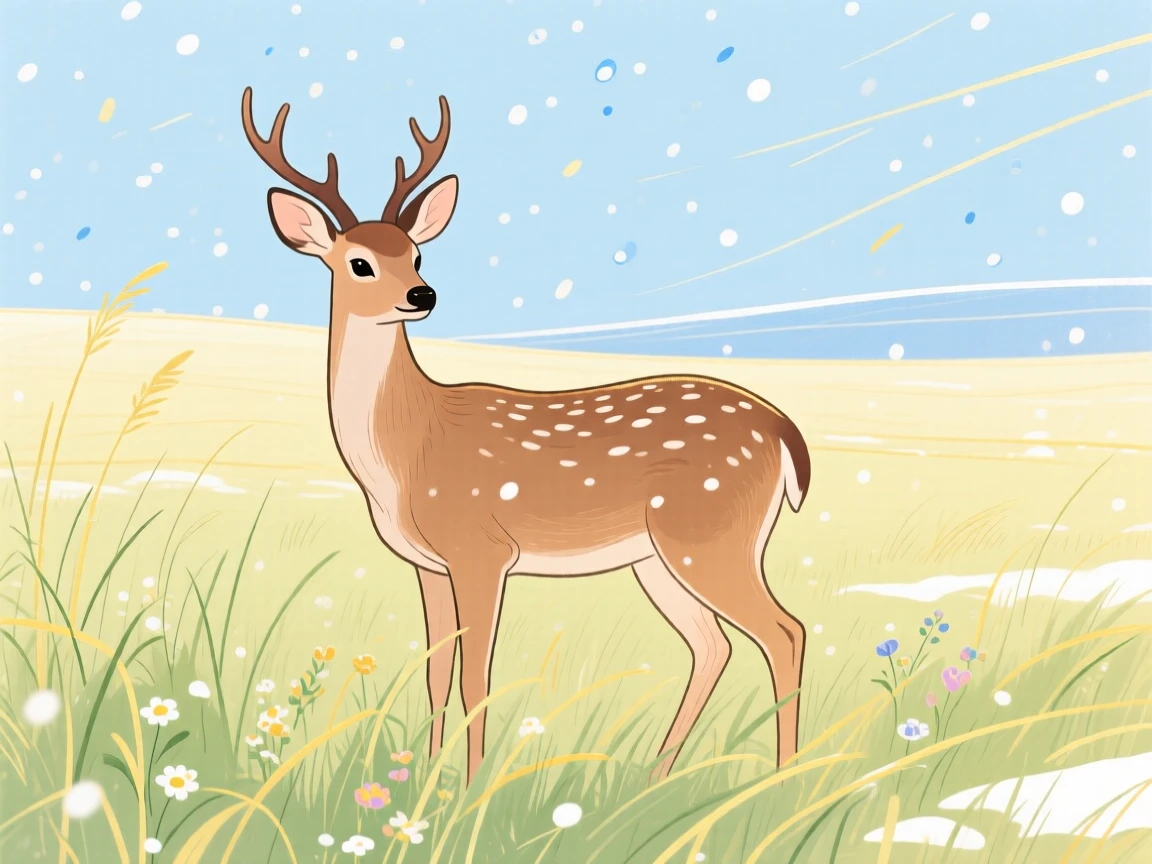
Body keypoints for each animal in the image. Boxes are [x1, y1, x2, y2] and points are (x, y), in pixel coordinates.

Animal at [240, 86, 812, 786]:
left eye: (417, 254)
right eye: (360, 262)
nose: (422, 294)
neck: (406, 451)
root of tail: (783, 432)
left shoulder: (481, 548)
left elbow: (476, 678)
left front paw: (466, 788)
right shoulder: (427, 564)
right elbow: (435, 672)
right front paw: (422, 777)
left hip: (710, 533)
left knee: (784, 632)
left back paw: (781, 780)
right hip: (659, 557)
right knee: (714, 644)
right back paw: (651, 781)